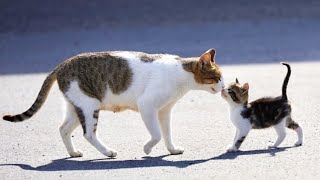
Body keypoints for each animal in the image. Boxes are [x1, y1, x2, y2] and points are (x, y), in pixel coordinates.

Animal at [2, 48, 225, 157]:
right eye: (217, 78)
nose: (224, 87)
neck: (182, 76)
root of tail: (62, 64)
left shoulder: (164, 111)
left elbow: (167, 133)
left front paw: (172, 149)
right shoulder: (147, 106)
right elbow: (157, 134)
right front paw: (147, 149)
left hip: (76, 106)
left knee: (63, 129)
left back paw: (73, 153)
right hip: (90, 106)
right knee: (88, 134)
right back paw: (107, 152)